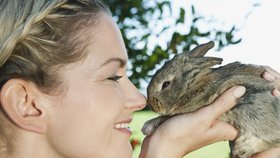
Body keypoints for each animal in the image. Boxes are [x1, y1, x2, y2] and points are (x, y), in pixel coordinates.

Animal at [141, 41, 280, 158]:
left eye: (166, 84)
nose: (151, 105)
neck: (192, 85)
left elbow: (166, 118)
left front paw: (147, 126)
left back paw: (244, 147)